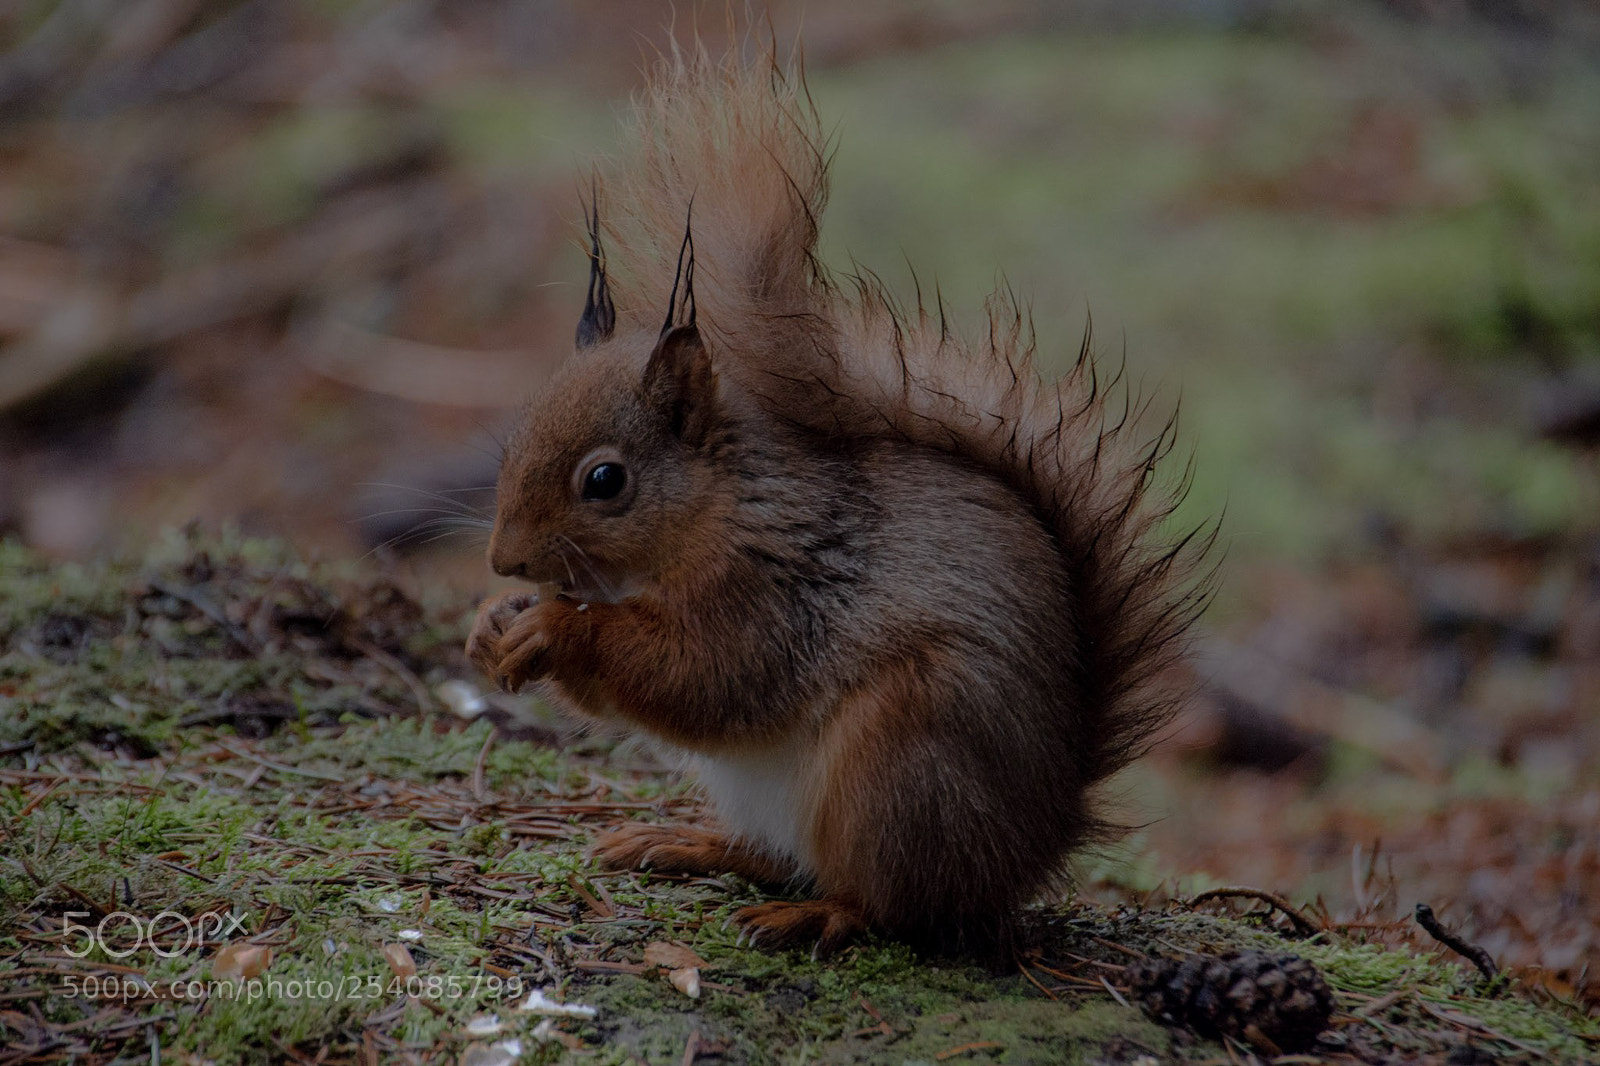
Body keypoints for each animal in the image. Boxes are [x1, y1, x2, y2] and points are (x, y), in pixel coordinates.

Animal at [467, 45, 1209, 947]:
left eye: (605, 481)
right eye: (516, 438)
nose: (505, 560)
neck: (712, 511)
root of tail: (1034, 842)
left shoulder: (774, 589)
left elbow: (703, 674)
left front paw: (555, 629)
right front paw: (492, 626)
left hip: (899, 756)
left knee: (894, 903)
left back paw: (813, 913)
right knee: (779, 853)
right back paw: (684, 843)